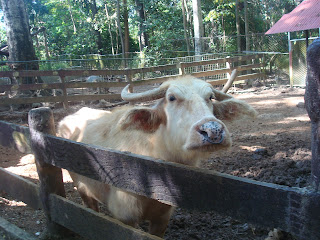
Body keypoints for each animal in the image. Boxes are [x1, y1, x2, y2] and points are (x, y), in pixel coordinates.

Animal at [58, 76, 258, 237]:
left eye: (210, 97)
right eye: (172, 98)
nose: (213, 130)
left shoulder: (162, 218)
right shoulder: (125, 216)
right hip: (82, 186)